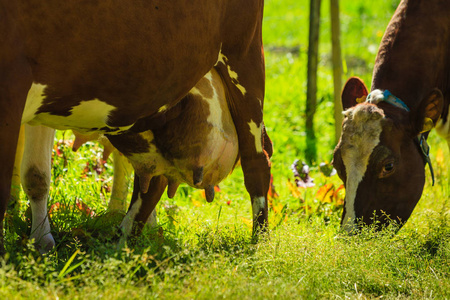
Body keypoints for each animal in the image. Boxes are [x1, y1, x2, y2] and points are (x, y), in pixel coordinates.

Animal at [0, 1, 270, 254]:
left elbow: (26, 177)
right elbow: (32, 174)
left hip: (244, 62)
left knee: (257, 160)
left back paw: (259, 243)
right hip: (148, 111)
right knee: (152, 179)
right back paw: (121, 244)